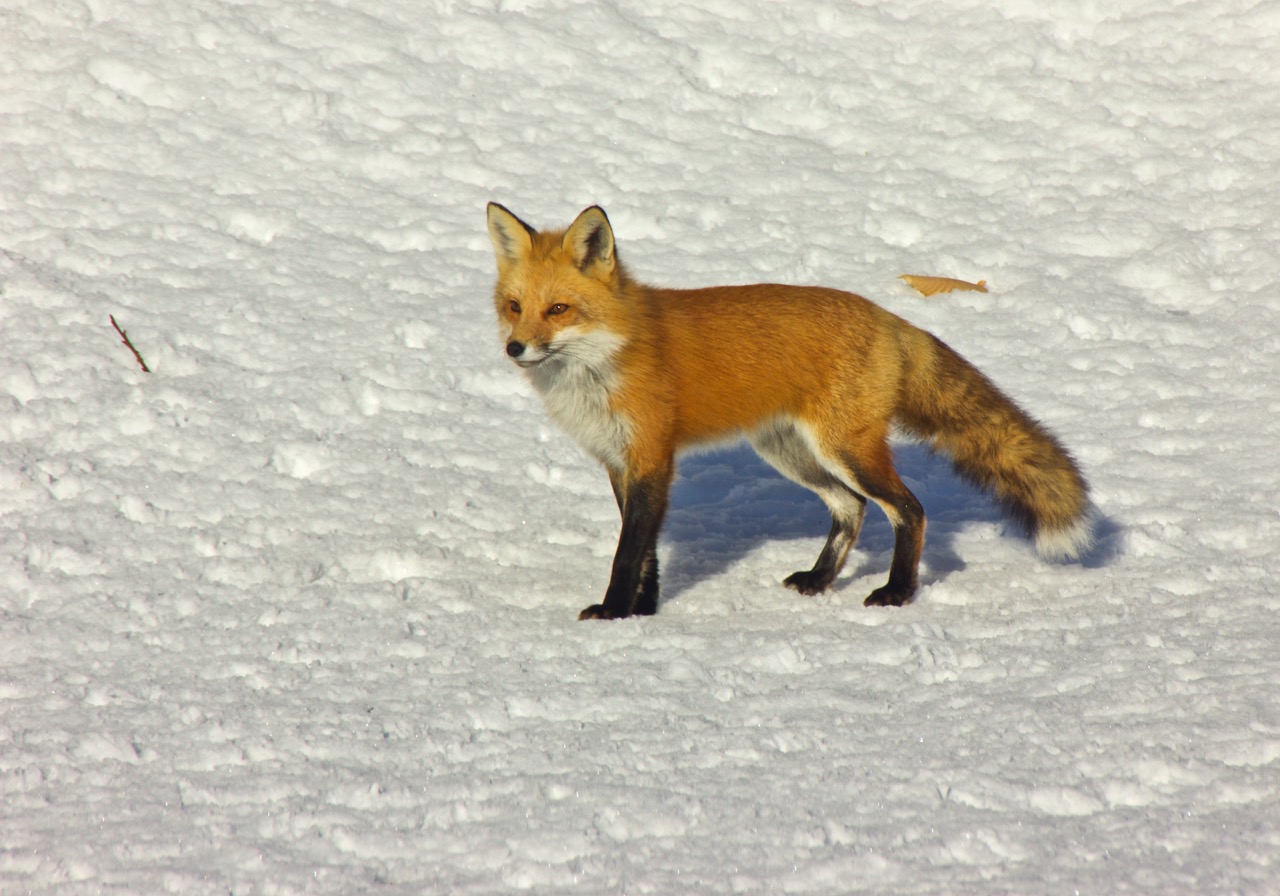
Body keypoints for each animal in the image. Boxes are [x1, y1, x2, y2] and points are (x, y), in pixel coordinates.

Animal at [483, 203, 1095, 619]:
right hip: (791, 453)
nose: (515, 348)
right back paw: (820, 581)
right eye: (515, 307)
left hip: (845, 450)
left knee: (910, 509)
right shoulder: (620, 462)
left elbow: (628, 551)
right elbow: (648, 551)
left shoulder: (652, 455)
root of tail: (888, 317)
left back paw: (897, 591)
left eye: (559, 310)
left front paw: (612, 613)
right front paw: (644, 612)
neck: (605, 359)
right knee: (851, 508)